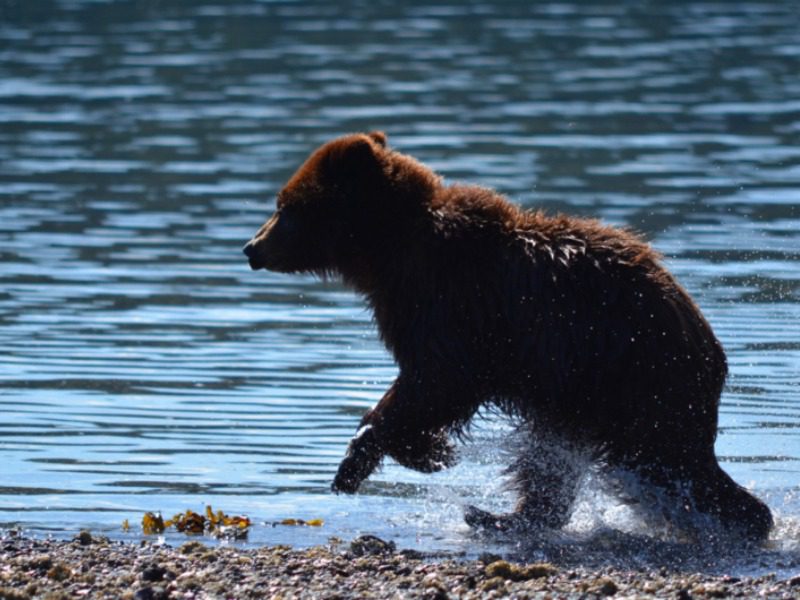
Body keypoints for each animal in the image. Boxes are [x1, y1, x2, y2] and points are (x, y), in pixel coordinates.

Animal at [245, 132, 776, 544]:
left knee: (665, 464)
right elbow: (427, 384)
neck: (389, 251)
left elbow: (437, 380)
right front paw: (420, 453)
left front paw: (382, 456)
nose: (251, 247)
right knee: (554, 464)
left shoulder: (452, 305)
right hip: (588, 399)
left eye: (284, 206)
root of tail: (709, 349)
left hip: (633, 379)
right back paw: (501, 517)